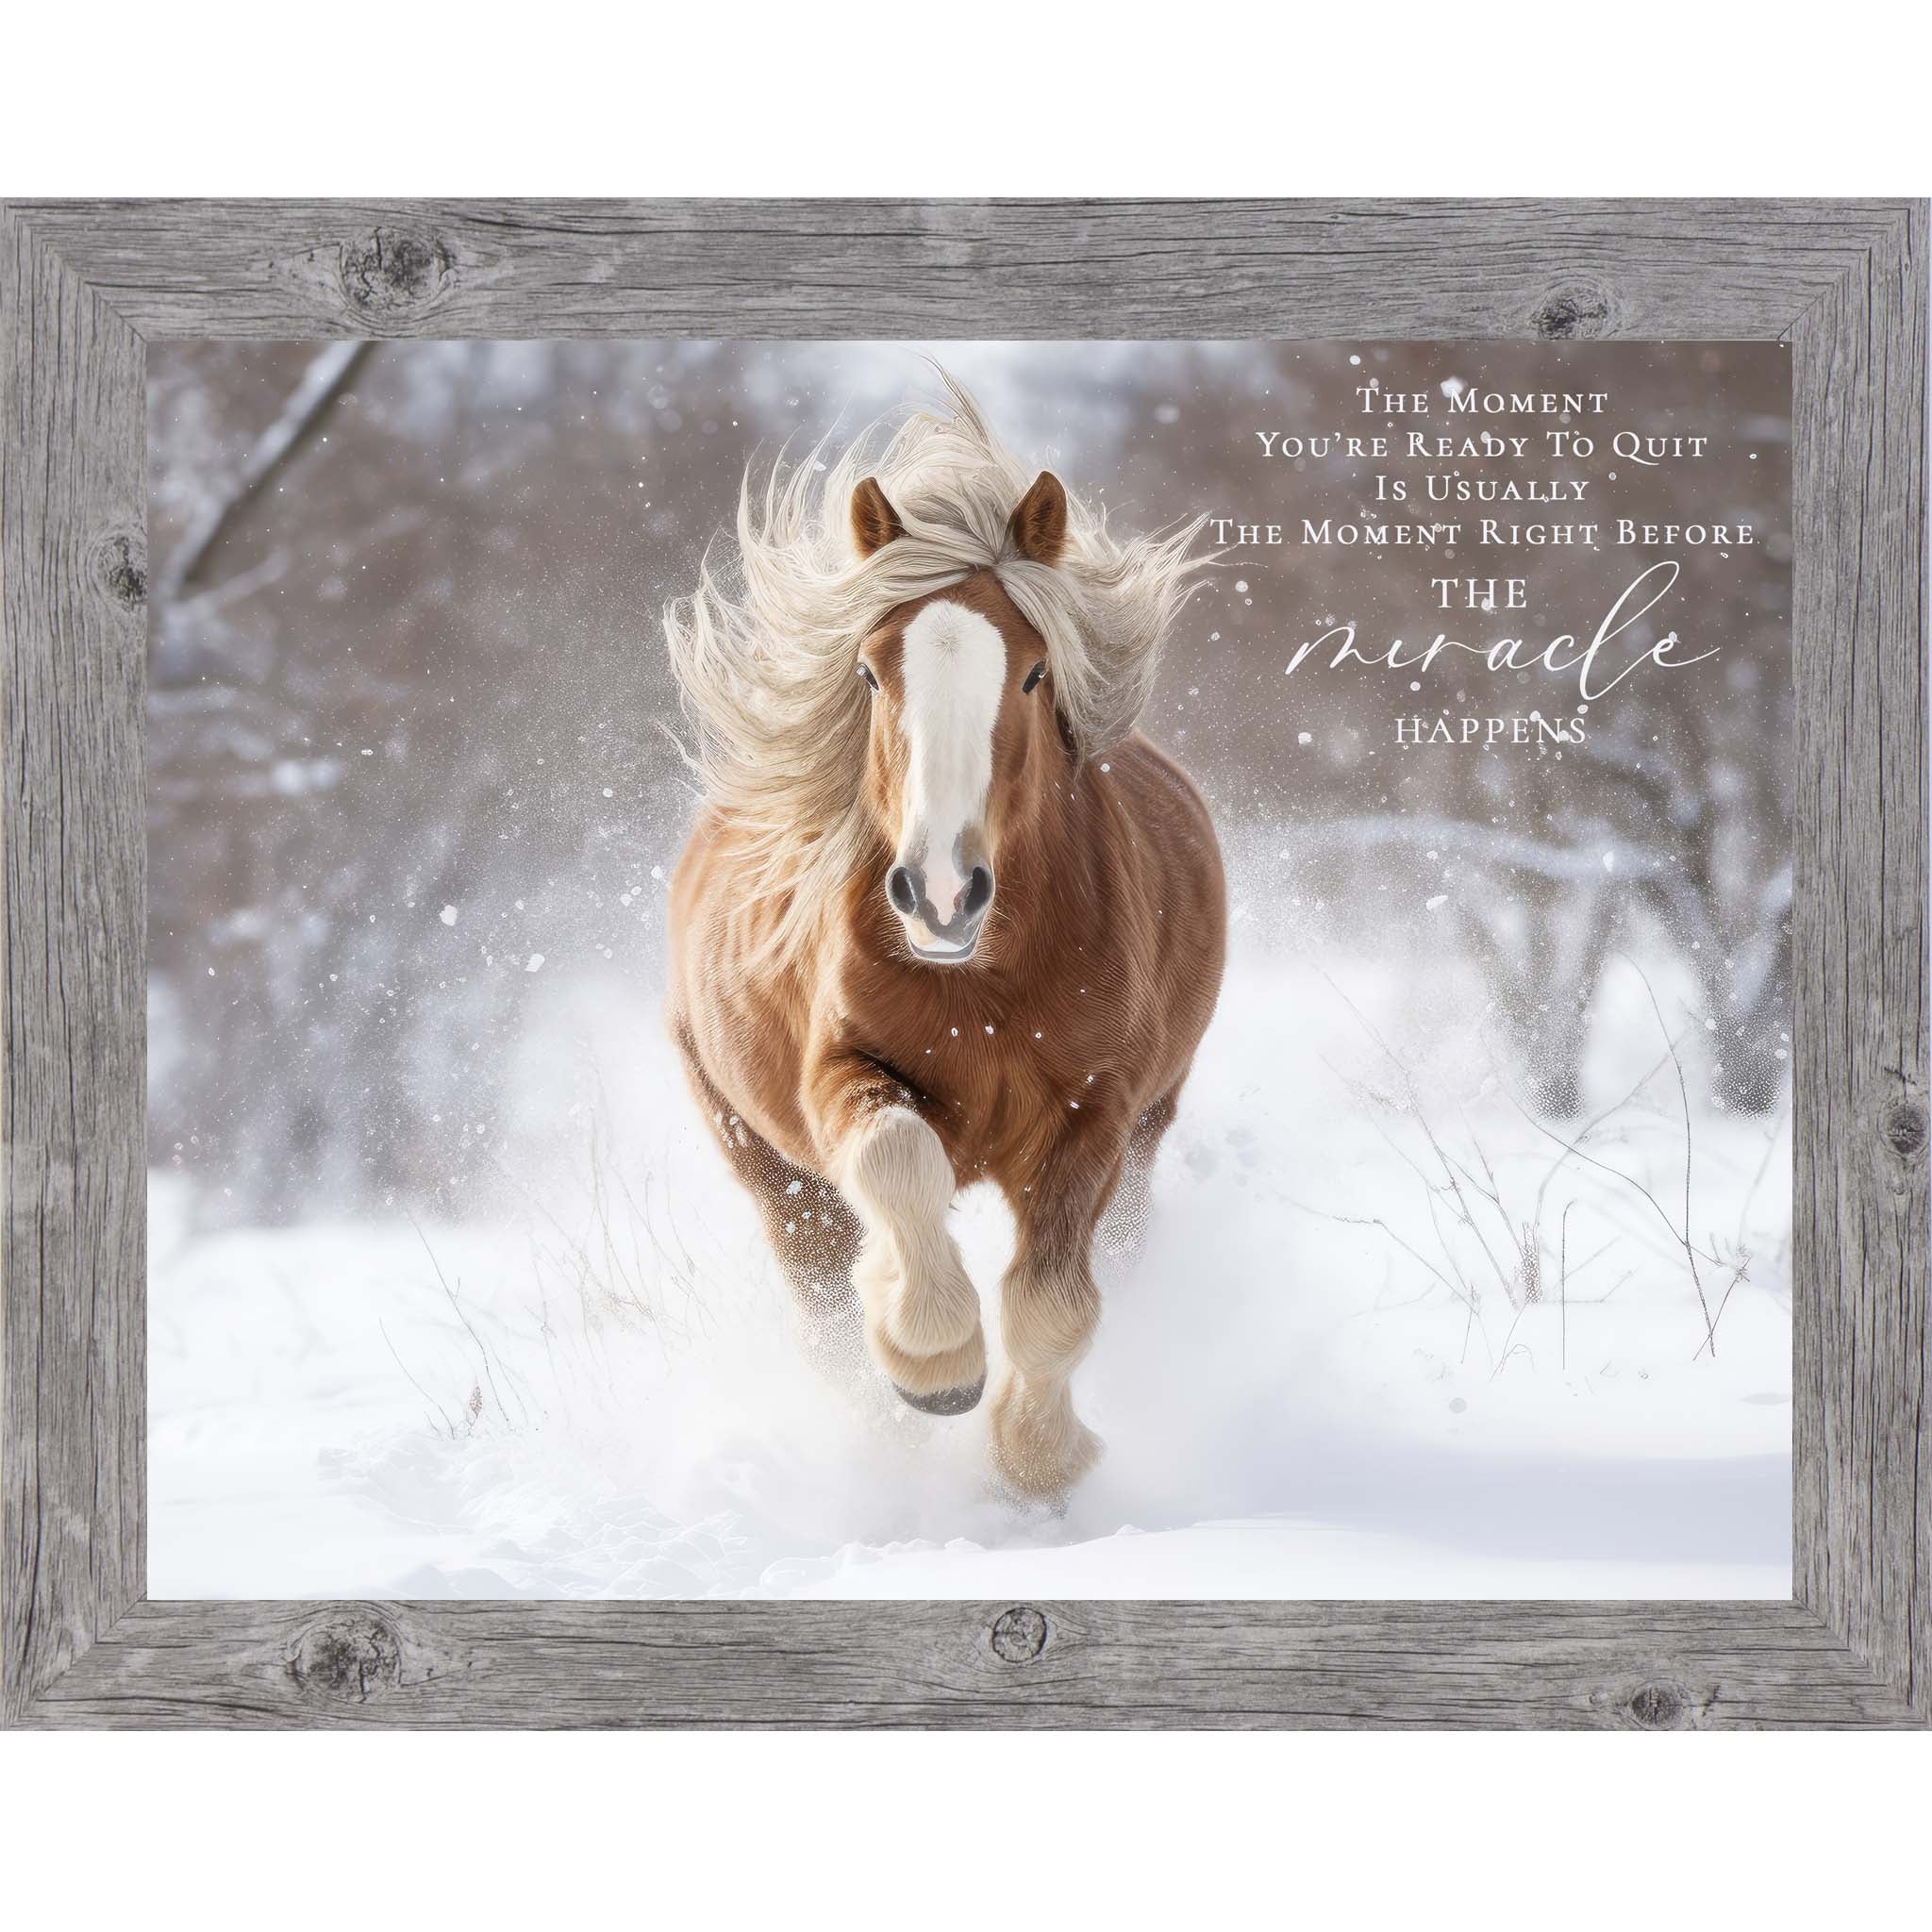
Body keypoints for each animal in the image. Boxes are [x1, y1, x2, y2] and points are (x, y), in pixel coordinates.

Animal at [662, 379, 1225, 1499]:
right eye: (872, 673)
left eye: (1035, 672)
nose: (938, 895)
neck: (986, 985)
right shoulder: (838, 1073)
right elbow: (897, 1159)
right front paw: (935, 1361)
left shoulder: (1097, 1114)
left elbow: (1053, 1306)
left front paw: (1043, 1455)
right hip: (767, 1166)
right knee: (826, 1314)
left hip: (1149, 1136)